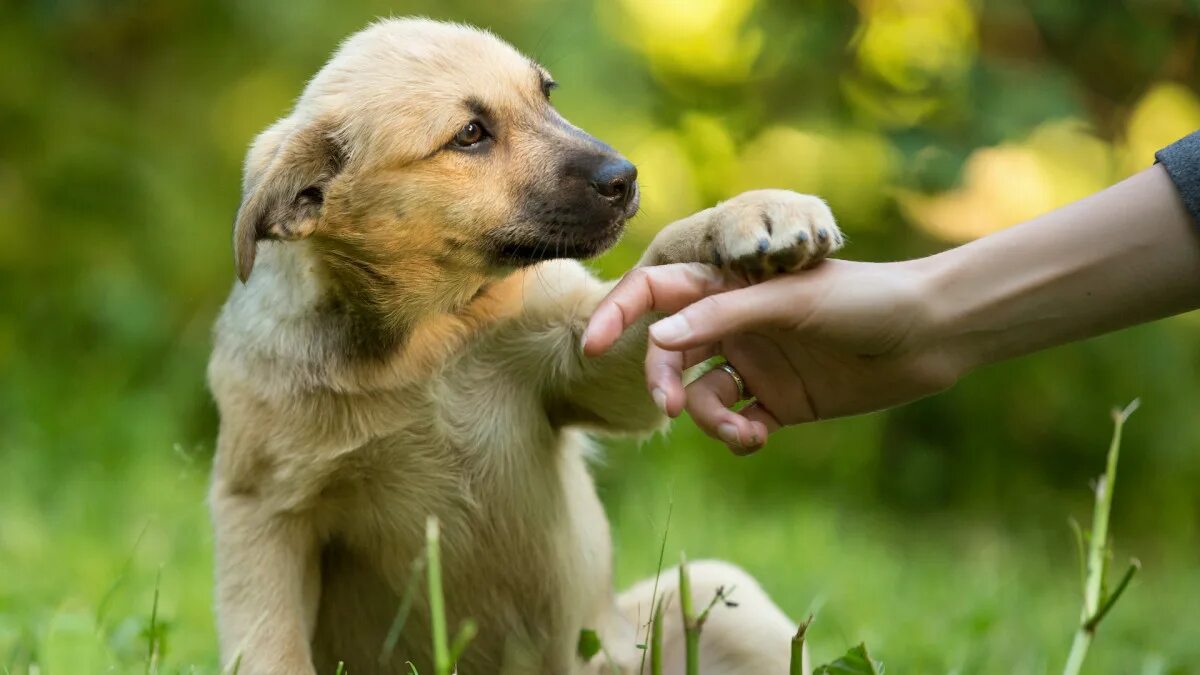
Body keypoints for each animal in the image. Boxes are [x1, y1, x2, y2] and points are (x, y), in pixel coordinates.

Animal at [208, 17, 844, 672]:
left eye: (546, 94)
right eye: (470, 134)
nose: (625, 177)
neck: (427, 341)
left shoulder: (585, 361)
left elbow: (661, 255)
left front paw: (750, 214)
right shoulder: (261, 509)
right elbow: (271, 647)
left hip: (720, 602)